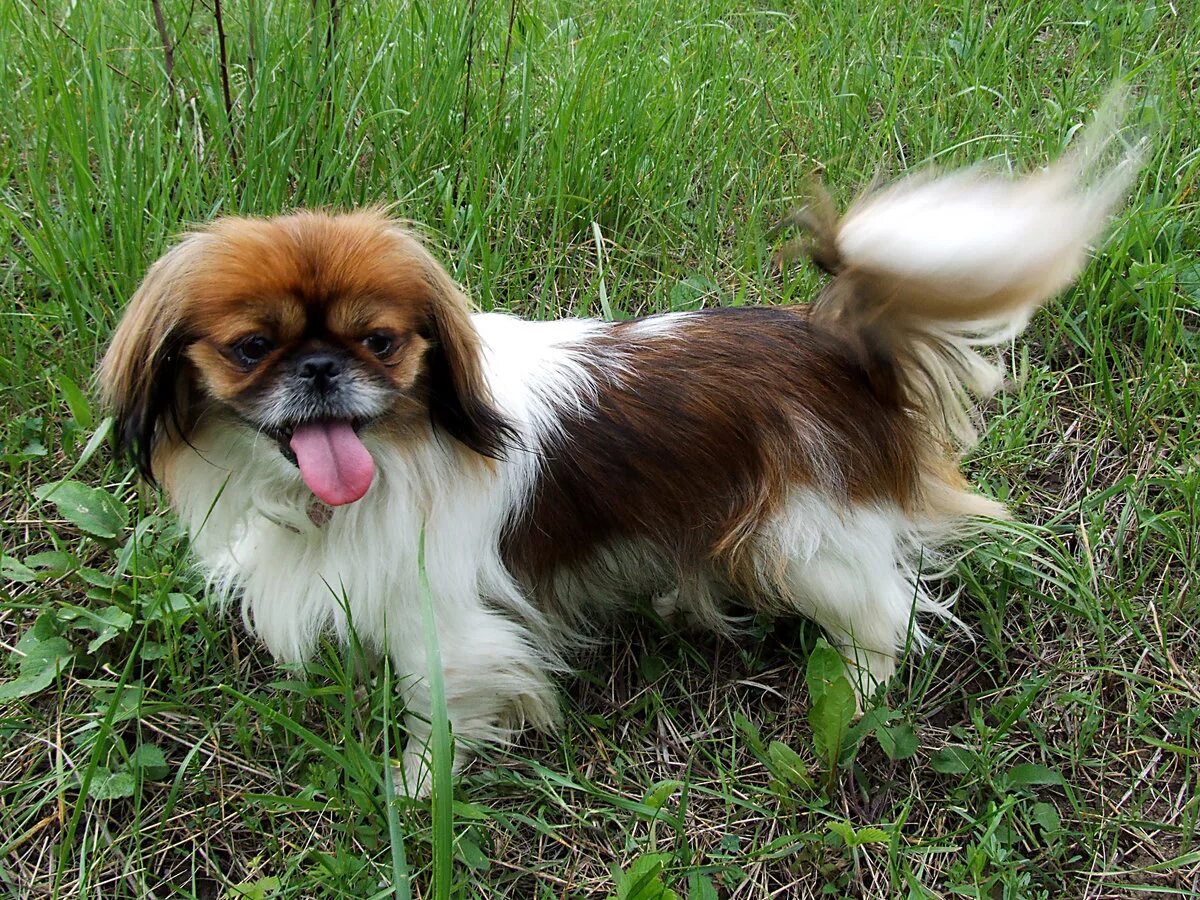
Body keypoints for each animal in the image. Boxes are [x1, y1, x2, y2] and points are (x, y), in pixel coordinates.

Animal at [100, 98, 1132, 796]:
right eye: (250, 348)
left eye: (380, 342)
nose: (319, 369)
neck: (392, 452)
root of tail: (834, 342)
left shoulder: (447, 621)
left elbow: (443, 708)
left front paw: (417, 787)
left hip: (805, 537)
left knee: (887, 615)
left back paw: (855, 685)